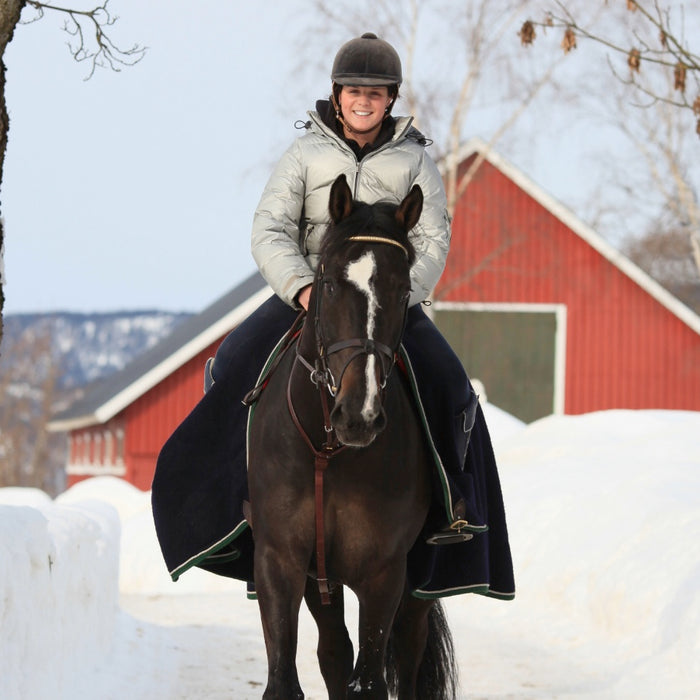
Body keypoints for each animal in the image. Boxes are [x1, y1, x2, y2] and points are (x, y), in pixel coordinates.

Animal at [247, 172, 460, 696]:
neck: (328, 450)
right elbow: (286, 679)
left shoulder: (383, 574)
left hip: (417, 587)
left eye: (404, 290)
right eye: (326, 282)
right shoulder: (280, 563)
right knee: (333, 653)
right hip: (321, 580)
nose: (358, 416)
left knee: (406, 659)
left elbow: (370, 680)